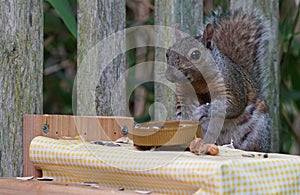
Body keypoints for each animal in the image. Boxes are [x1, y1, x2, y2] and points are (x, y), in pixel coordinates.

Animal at [165, 9, 270, 152]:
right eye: (167, 53)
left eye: (195, 54)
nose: (169, 75)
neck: (198, 82)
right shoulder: (184, 93)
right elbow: (183, 110)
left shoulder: (231, 85)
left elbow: (231, 105)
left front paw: (204, 110)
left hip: (256, 134)